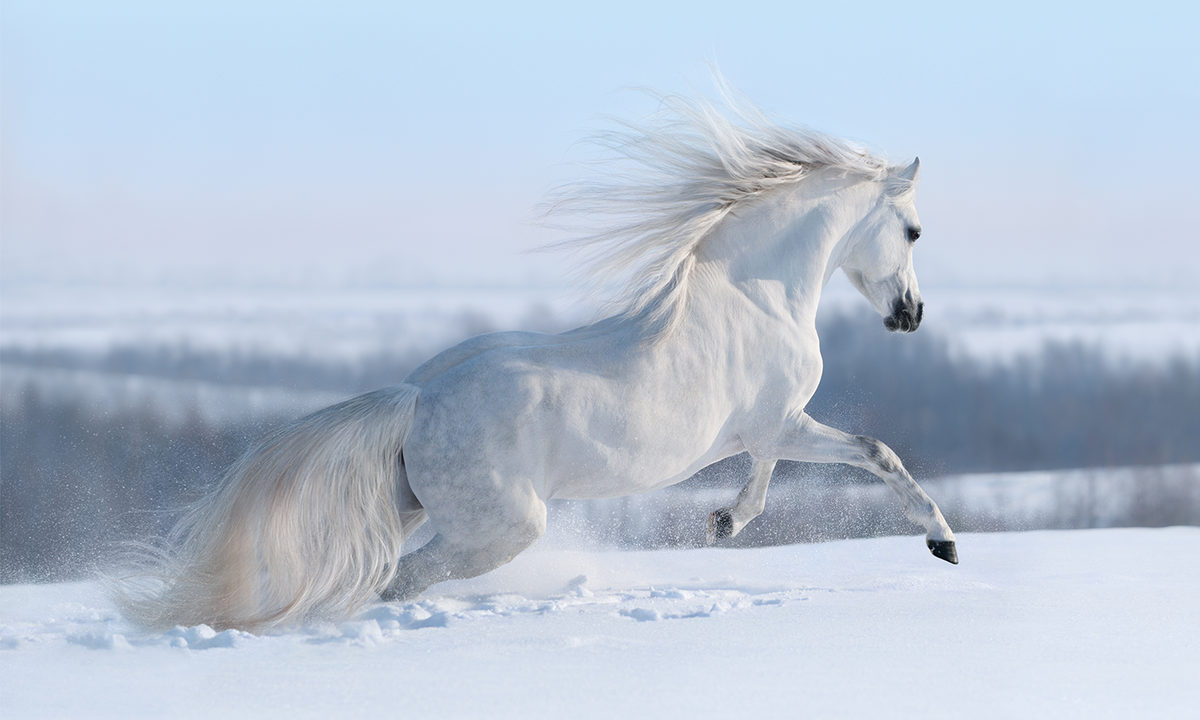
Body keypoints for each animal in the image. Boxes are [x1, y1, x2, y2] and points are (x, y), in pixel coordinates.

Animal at [115, 87, 957, 632]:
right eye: (914, 230)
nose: (910, 316)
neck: (755, 294)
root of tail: (416, 399)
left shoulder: (768, 430)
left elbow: (767, 477)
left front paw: (723, 522)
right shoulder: (783, 422)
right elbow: (876, 451)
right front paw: (942, 541)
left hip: (417, 505)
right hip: (504, 527)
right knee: (401, 580)